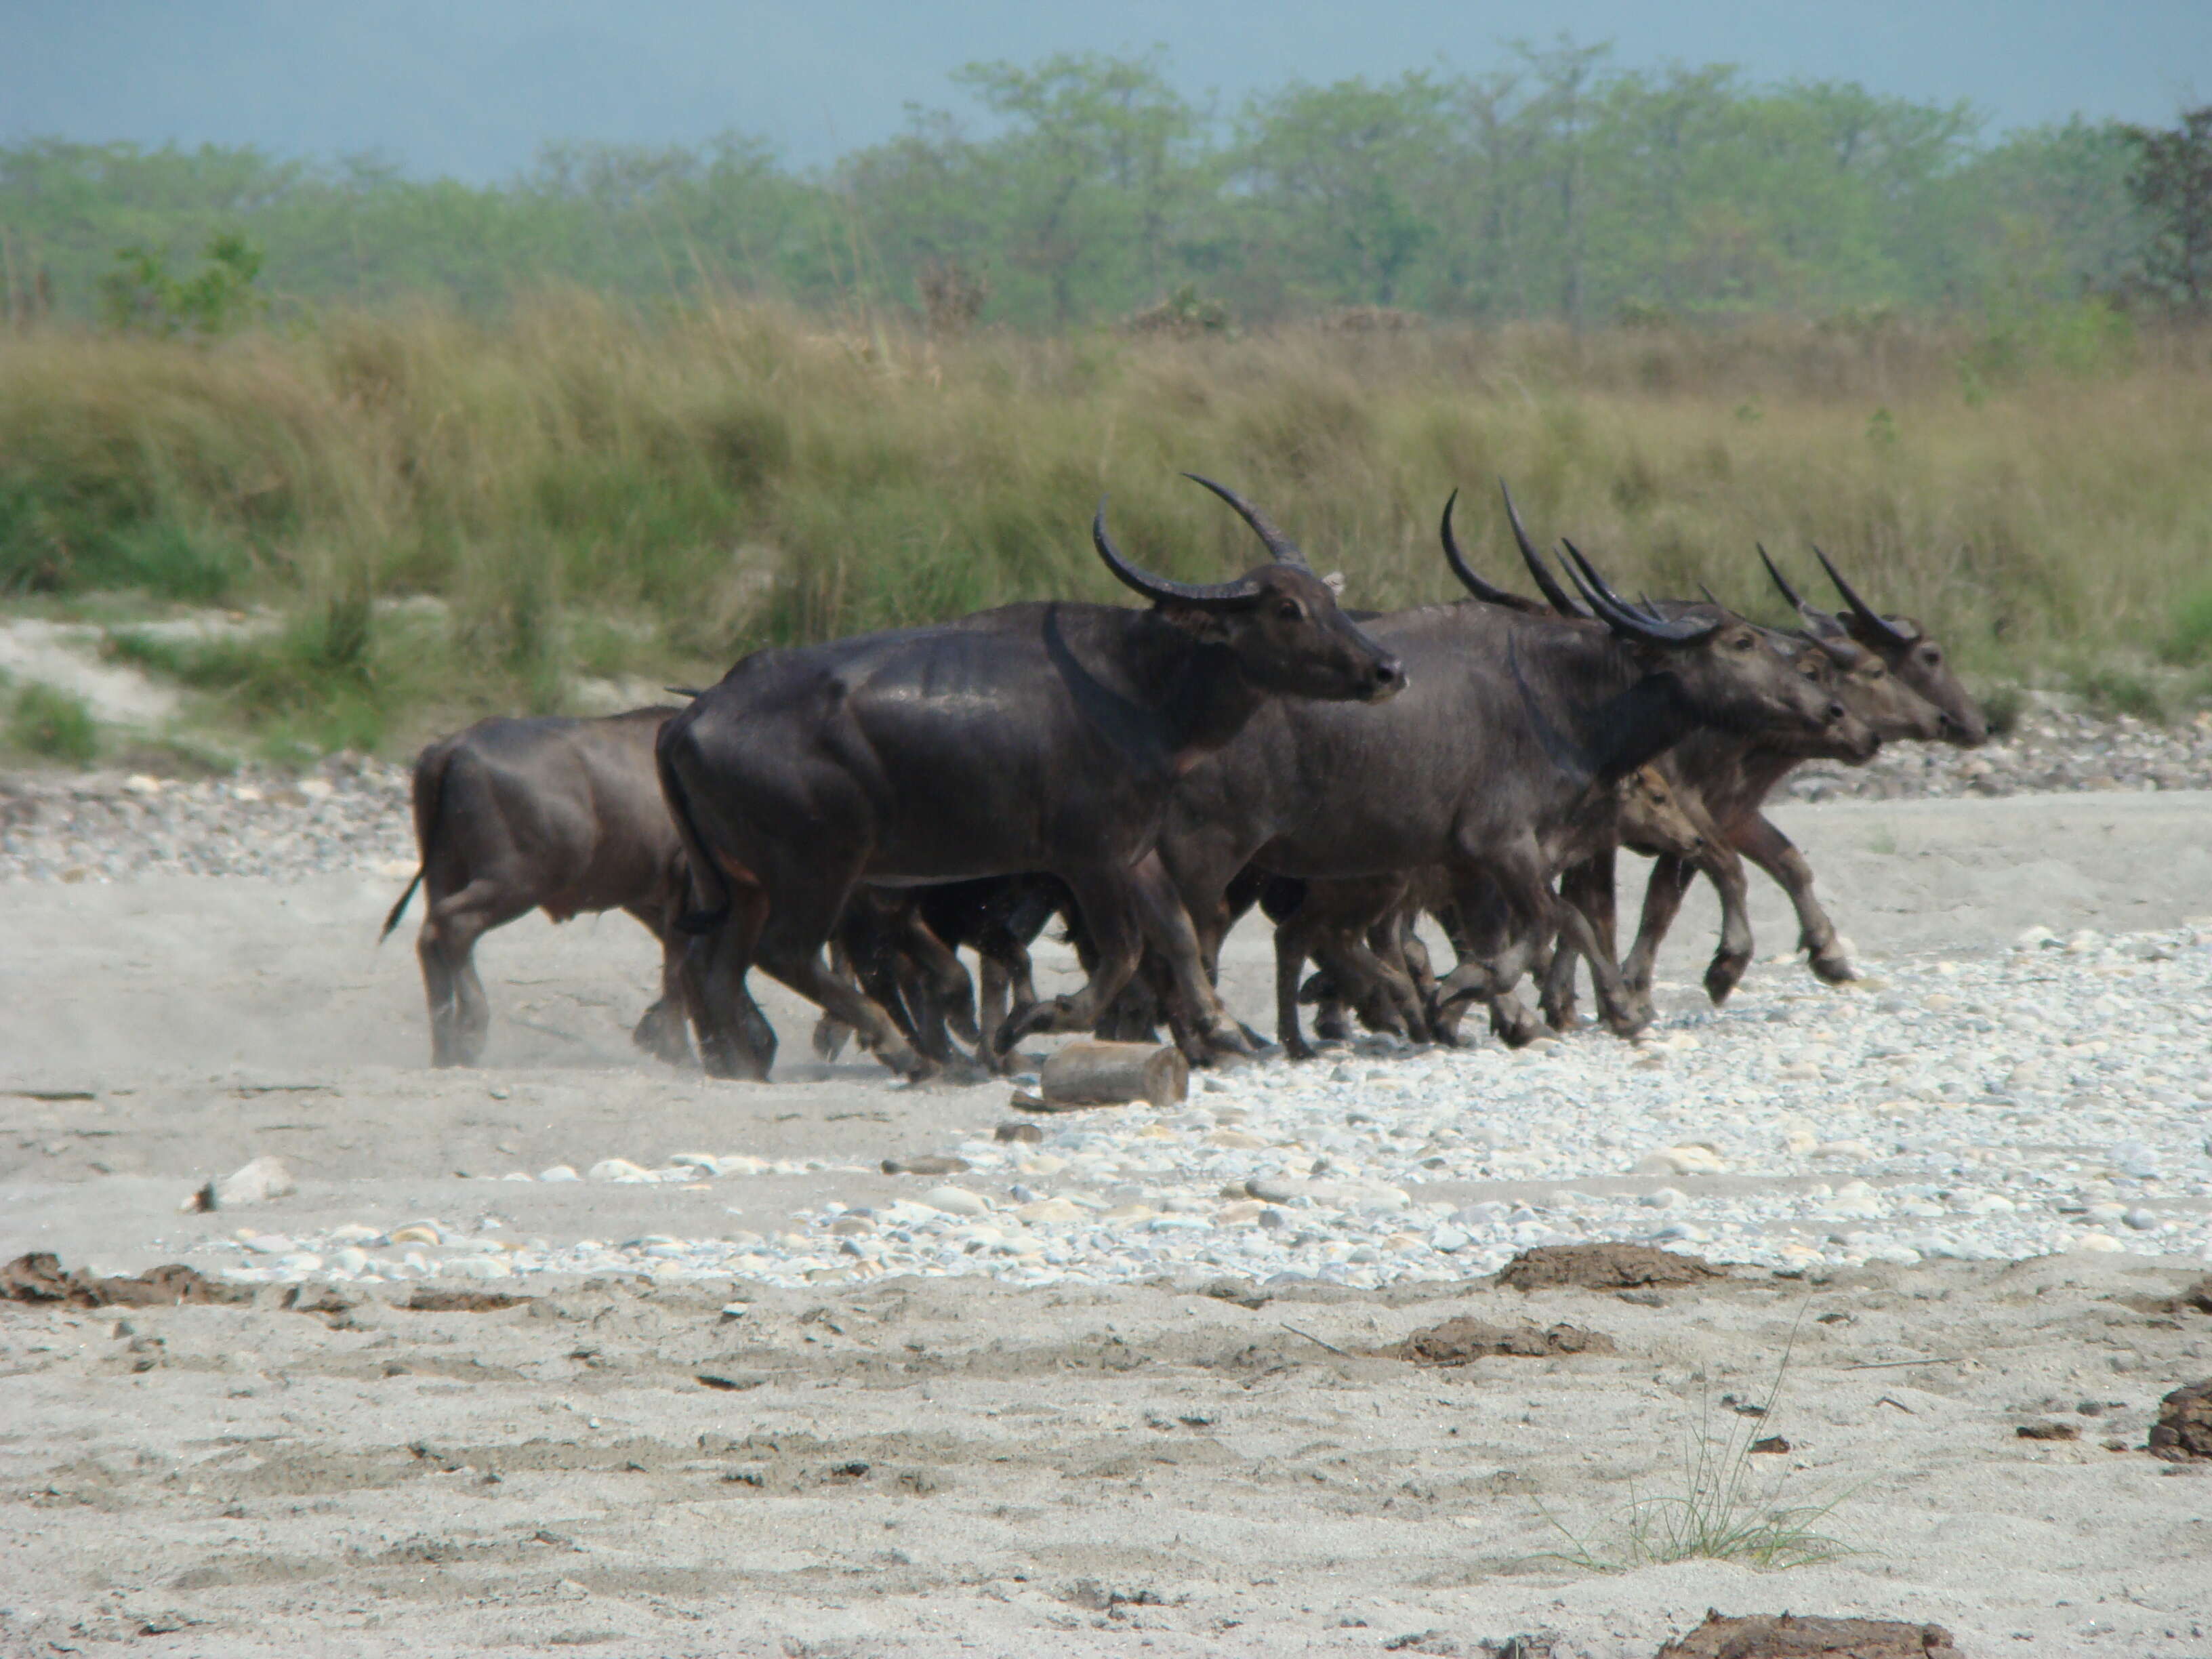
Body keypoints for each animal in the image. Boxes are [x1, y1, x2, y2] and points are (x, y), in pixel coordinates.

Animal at [380, 708, 690, 1070]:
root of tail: (455, 748)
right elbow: (678, 970)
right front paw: (678, 1050)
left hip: (445, 872)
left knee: (431, 936)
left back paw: (445, 1046)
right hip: (519, 881)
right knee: (455, 924)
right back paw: (469, 1033)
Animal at [650, 473, 1397, 1084]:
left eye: (1327, 600)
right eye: (1286, 610)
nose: (1387, 668)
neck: (1138, 686)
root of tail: (693, 715)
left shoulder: (1134, 852)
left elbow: (1179, 934)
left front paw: (1222, 1031)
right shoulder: (1090, 859)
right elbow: (1123, 951)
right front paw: (1034, 1022)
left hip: (744, 883)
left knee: (717, 965)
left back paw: (742, 1064)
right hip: (819, 869)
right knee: (785, 954)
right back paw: (899, 1051)